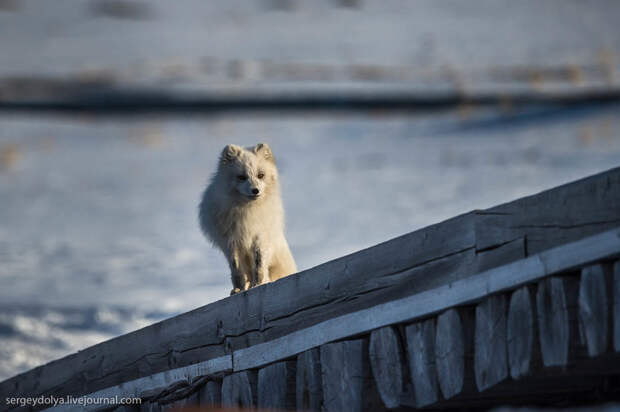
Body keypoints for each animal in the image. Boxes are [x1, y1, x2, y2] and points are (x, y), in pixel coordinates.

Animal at [197, 143, 296, 294]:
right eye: (241, 177)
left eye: (260, 175)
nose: (255, 190)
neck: (247, 211)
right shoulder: (230, 242)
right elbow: (236, 269)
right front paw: (239, 289)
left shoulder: (260, 236)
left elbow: (259, 265)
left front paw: (258, 284)